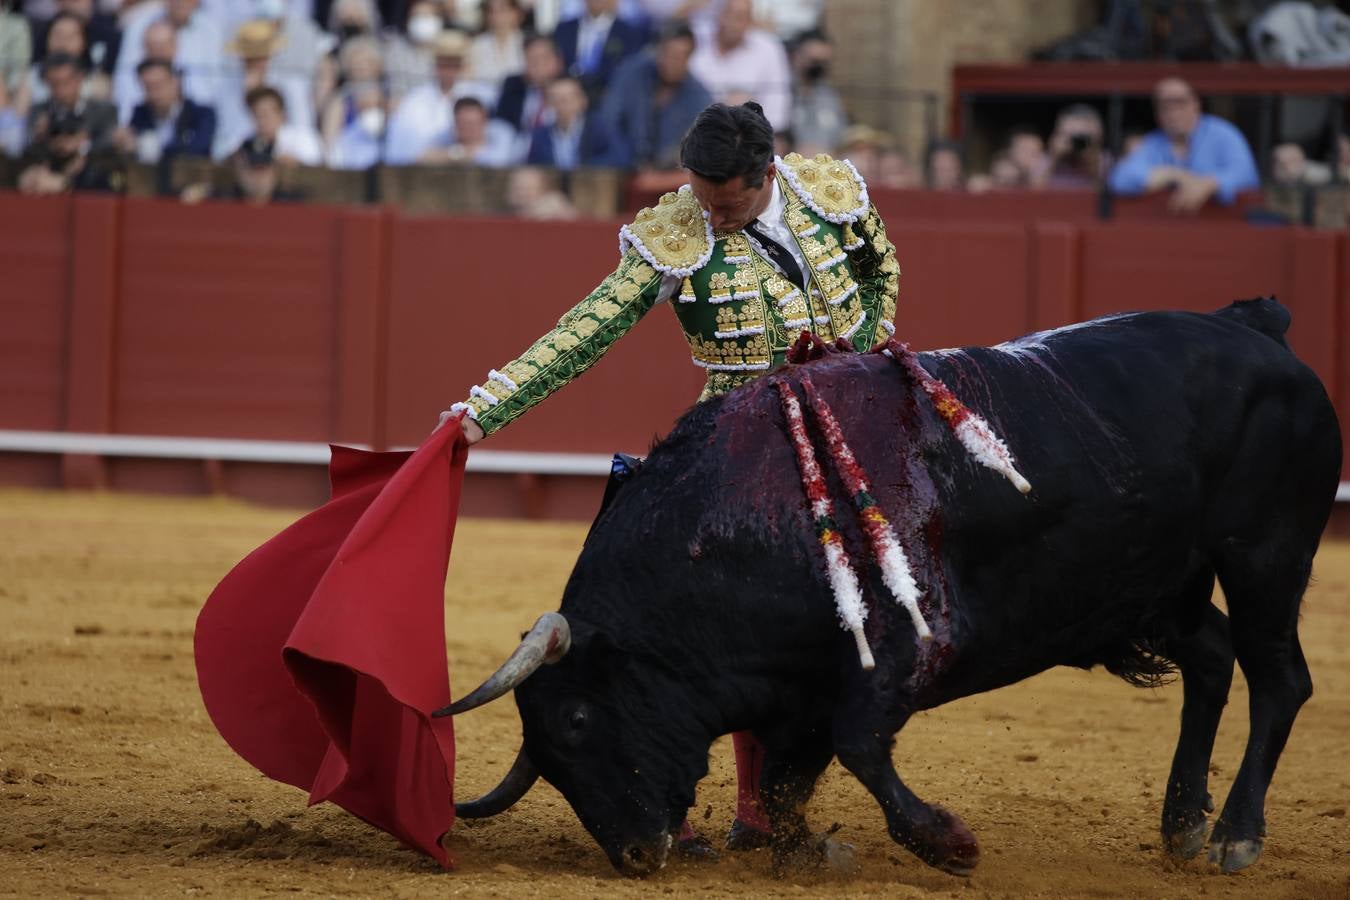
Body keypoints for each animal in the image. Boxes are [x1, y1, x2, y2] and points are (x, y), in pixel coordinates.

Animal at [440, 299, 1339, 874]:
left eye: (580, 719)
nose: (633, 856)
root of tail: (1253, 327)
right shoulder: (798, 688)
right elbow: (789, 776)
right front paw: (809, 849)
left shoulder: (904, 650)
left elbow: (858, 746)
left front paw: (948, 843)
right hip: (1158, 583)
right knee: (1214, 660)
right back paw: (1182, 824)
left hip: (1265, 554)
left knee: (1280, 679)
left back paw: (1235, 837)